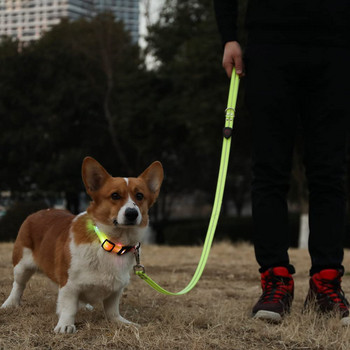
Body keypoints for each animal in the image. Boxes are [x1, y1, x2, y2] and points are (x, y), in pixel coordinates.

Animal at [1, 158, 164, 334]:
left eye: (140, 196)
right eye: (115, 195)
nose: (132, 213)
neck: (110, 242)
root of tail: (38, 212)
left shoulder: (116, 289)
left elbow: (112, 310)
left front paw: (122, 322)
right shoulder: (69, 284)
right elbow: (69, 307)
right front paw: (65, 325)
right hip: (21, 266)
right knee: (18, 285)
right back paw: (10, 303)